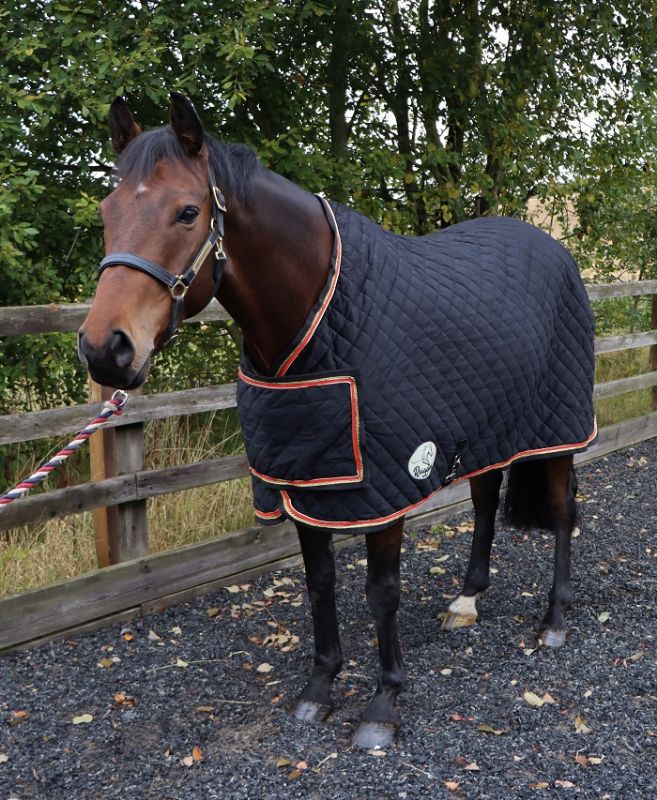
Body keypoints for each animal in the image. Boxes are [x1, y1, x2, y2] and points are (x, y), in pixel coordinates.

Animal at [78, 93, 596, 750]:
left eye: (187, 212)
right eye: (107, 209)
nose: (105, 349)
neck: (316, 322)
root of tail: (555, 251)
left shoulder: (383, 486)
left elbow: (381, 592)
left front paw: (383, 703)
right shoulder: (304, 481)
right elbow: (319, 582)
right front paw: (319, 688)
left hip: (558, 431)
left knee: (560, 511)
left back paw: (553, 620)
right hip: (488, 430)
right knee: (483, 499)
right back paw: (467, 600)